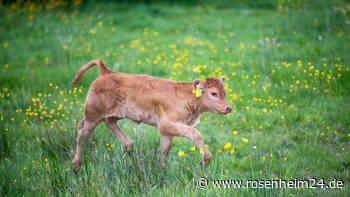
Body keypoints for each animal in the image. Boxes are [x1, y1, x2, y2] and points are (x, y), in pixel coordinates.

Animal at [71, 59, 231, 172]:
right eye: (213, 93)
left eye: (224, 92)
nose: (228, 108)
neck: (188, 97)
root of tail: (107, 73)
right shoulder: (166, 125)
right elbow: (195, 133)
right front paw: (207, 158)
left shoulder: (167, 132)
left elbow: (165, 150)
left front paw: (161, 170)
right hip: (92, 115)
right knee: (81, 133)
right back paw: (76, 165)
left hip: (113, 115)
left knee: (110, 123)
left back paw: (129, 146)